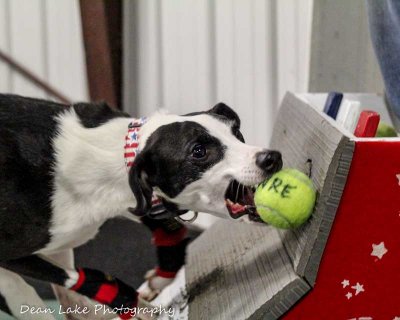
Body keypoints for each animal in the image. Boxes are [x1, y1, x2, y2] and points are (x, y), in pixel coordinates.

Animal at [0, 94, 282, 318]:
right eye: (199, 151)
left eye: (236, 132)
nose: (271, 158)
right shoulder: (12, 255)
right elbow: (76, 279)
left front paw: (156, 282)